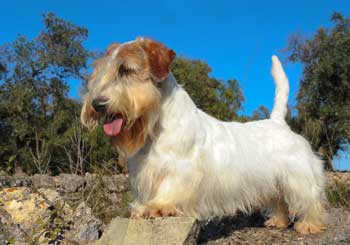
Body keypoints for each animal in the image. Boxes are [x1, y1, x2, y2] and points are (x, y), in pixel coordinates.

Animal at [80, 37, 326, 234]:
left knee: (310, 199)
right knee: (279, 201)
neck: (156, 124)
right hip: (274, 180)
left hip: (298, 177)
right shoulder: (145, 172)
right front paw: (141, 208)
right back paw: (278, 221)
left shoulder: (179, 169)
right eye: (102, 70)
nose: (97, 104)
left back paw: (310, 225)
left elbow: (169, 188)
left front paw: (158, 207)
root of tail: (277, 121)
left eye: (126, 70)